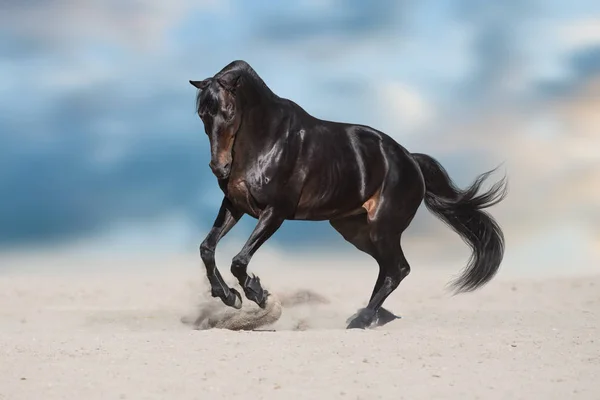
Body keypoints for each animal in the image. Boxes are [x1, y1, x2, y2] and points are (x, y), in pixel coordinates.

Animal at [189, 59, 506, 328]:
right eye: (202, 115)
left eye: (229, 112)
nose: (219, 168)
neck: (266, 141)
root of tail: (411, 160)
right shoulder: (235, 205)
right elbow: (207, 248)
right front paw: (229, 296)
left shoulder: (275, 211)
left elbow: (239, 260)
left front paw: (259, 295)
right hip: (355, 230)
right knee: (387, 268)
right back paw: (368, 316)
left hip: (382, 228)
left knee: (398, 269)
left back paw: (362, 320)